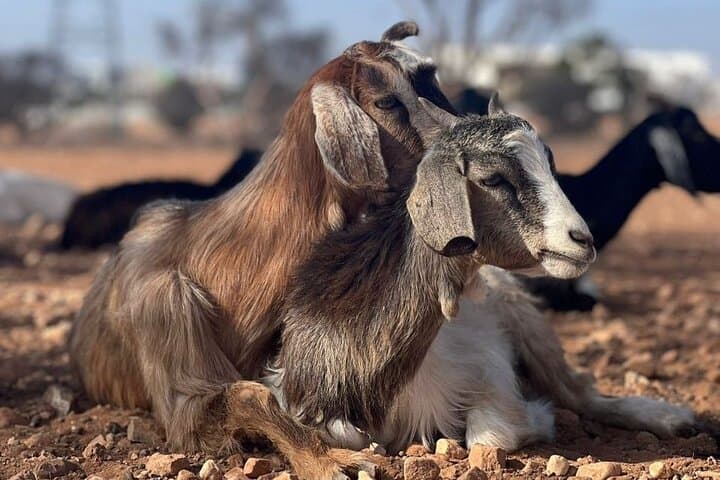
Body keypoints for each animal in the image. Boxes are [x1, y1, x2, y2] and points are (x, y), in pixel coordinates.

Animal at [271, 98, 696, 454]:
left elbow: (489, 435)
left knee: (581, 394)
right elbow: (352, 437)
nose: (583, 240)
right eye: (493, 179)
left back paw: (673, 419)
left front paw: (537, 418)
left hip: (529, 323)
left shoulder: (489, 369)